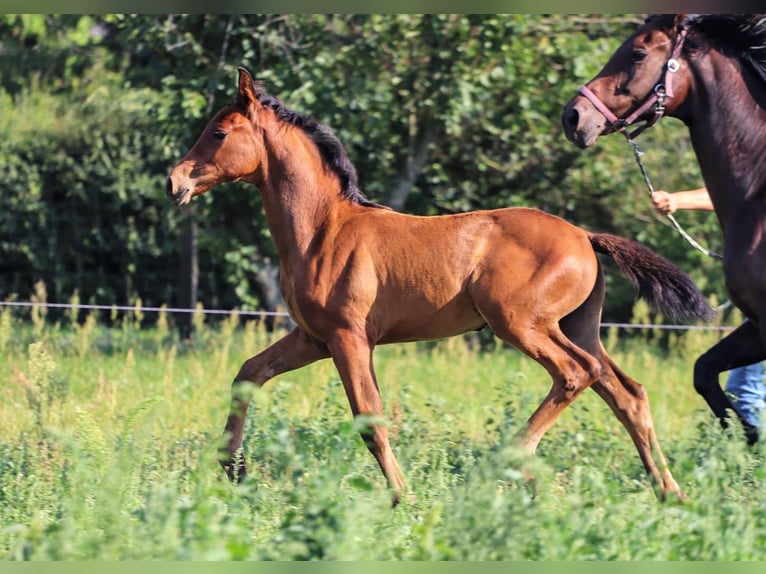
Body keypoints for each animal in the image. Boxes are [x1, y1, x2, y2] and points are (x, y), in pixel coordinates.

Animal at [168, 66, 712, 504]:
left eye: (218, 132)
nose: (175, 183)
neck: (324, 230)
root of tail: (584, 236)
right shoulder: (313, 338)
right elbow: (248, 375)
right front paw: (233, 468)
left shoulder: (349, 337)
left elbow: (370, 418)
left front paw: (401, 497)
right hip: (578, 326)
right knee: (626, 392)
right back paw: (670, 493)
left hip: (521, 324)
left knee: (576, 373)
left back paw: (514, 464)